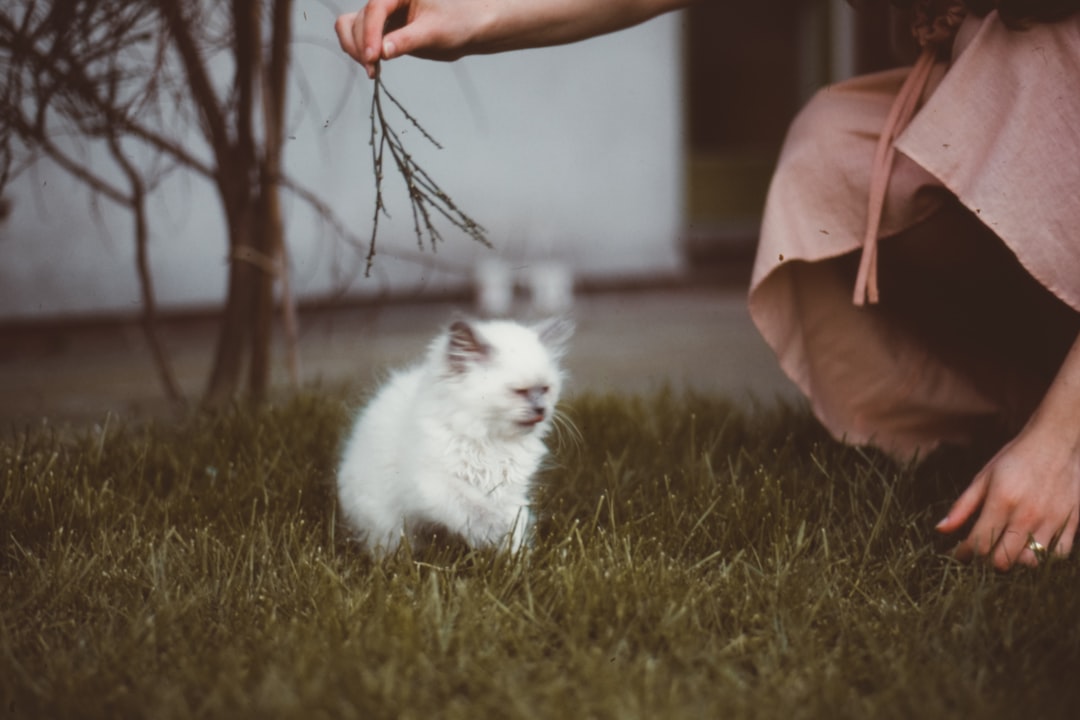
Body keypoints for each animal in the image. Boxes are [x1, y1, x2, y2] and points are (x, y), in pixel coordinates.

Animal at [336, 317, 574, 557]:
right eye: (520, 391)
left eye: (544, 389)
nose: (541, 409)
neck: (491, 439)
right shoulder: (433, 484)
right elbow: (474, 509)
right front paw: (494, 531)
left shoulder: (511, 494)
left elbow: (516, 529)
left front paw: (514, 558)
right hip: (388, 525)